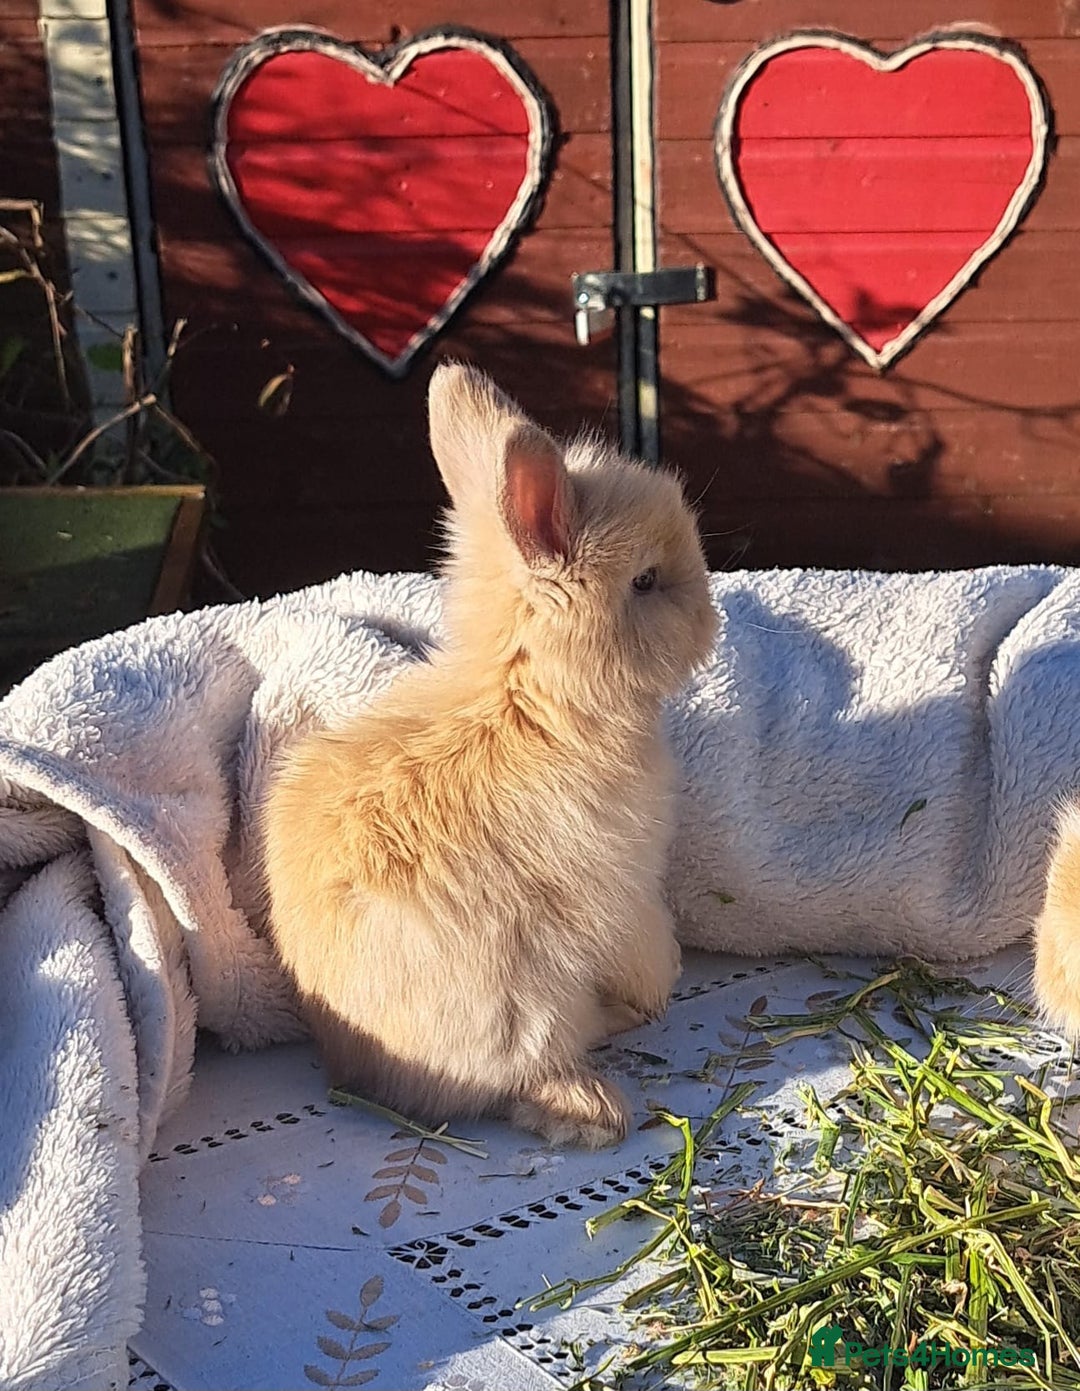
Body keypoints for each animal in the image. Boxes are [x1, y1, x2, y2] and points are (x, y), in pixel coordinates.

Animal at [261, 362, 717, 1148]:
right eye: (646, 581)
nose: (712, 620)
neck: (529, 701)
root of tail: (367, 1072)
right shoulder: (622, 888)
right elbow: (645, 948)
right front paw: (666, 981)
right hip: (525, 1007)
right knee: (527, 1081)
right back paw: (598, 1099)